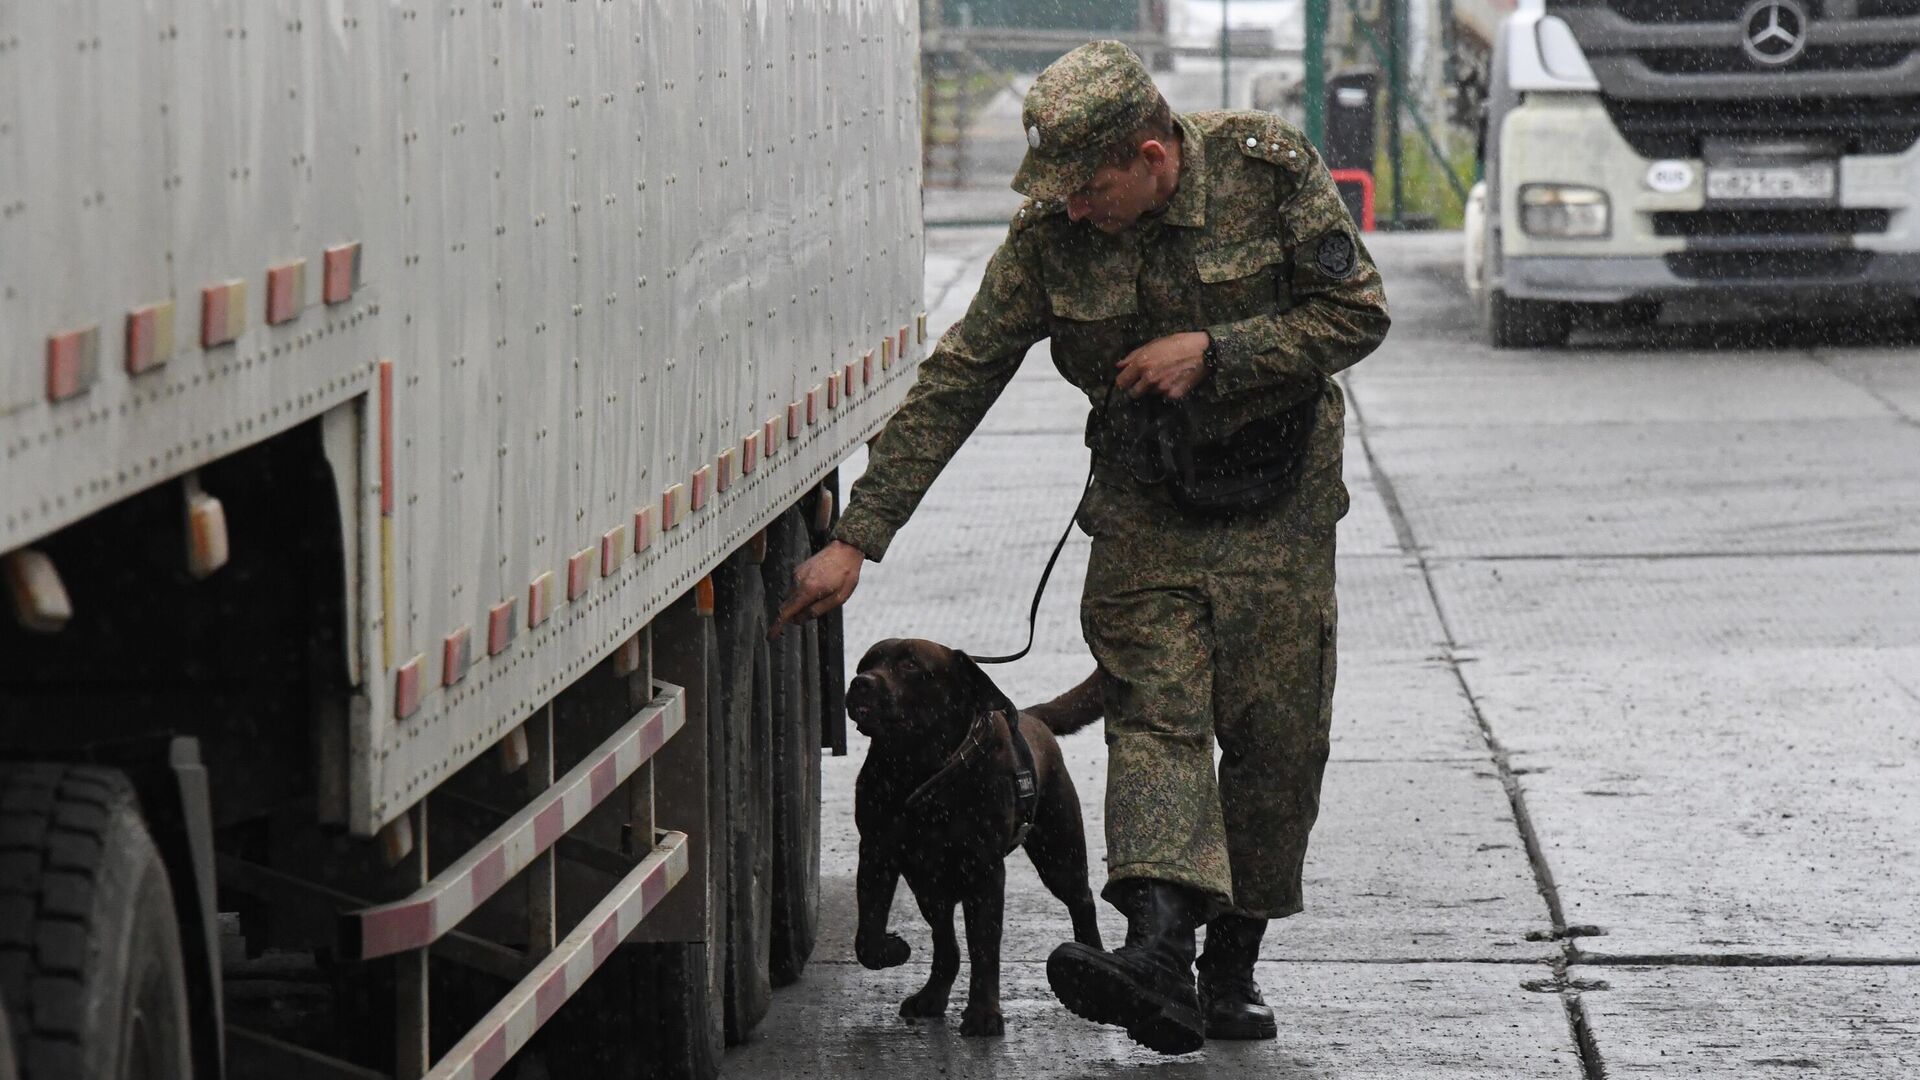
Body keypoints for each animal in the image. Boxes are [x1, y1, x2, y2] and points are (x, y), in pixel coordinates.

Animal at [848, 638, 1105, 1037]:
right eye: (865, 664)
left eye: (910, 665)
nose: (861, 682)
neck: (918, 766)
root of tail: (1034, 718)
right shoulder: (878, 853)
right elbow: (868, 934)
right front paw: (892, 950)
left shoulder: (983, 872)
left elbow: (984, 946)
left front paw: (984, 1013)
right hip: (928, 888)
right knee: (946, 946)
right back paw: (932, 996)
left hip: (1060, 854)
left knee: (1083, 901)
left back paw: (1089, 965)